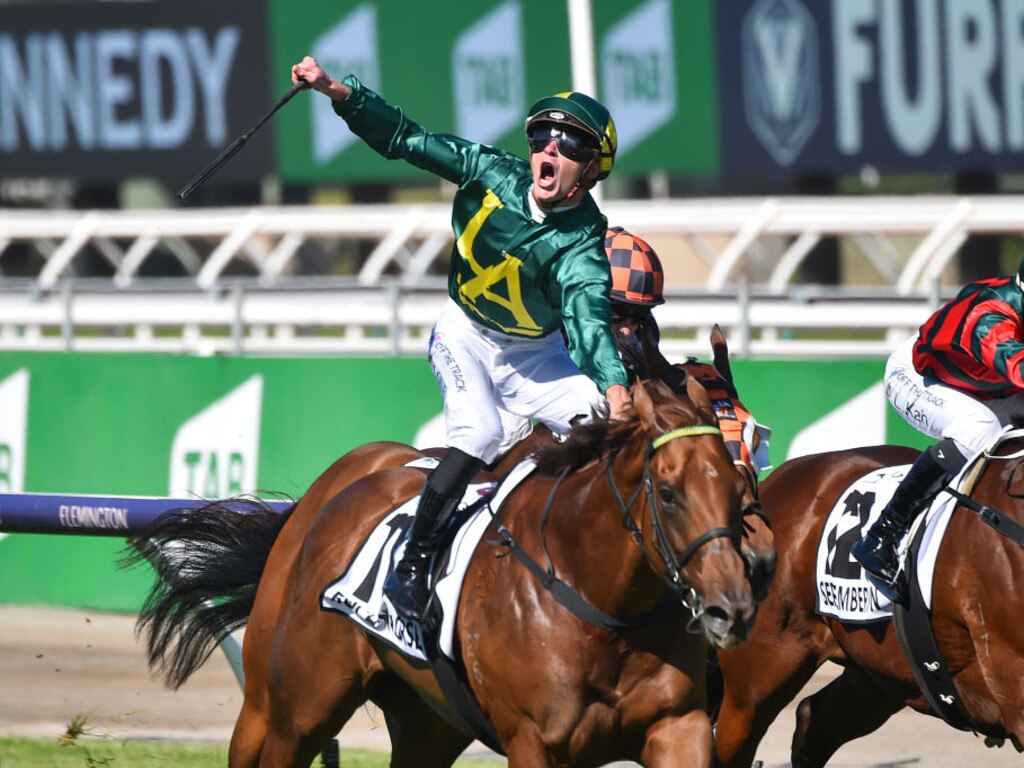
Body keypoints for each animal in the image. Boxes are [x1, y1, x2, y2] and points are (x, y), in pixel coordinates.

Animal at [130, 380, 761, 768]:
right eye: (670, 494)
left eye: (740, 490)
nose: (732, 608)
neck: (599, 602)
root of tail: (343, 482)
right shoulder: (535, 741)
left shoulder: (678, 726)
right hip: (293, 706)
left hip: (428, 721)